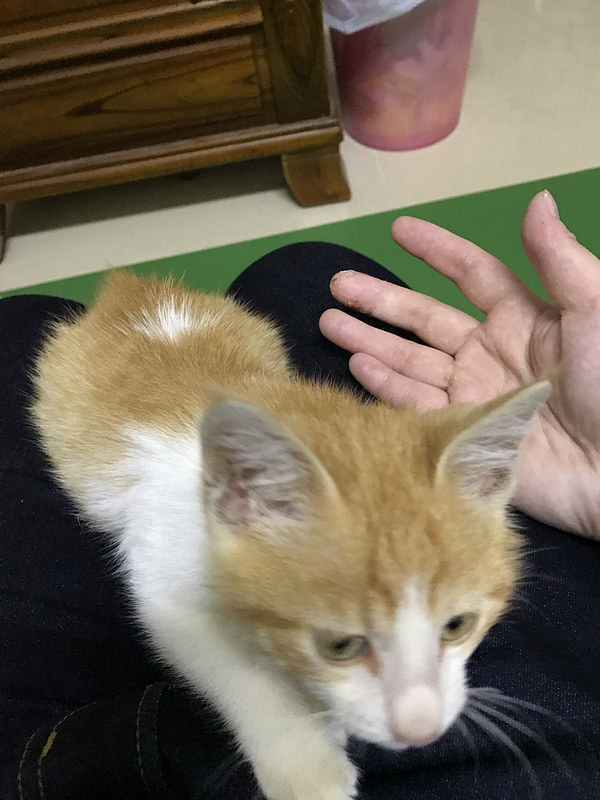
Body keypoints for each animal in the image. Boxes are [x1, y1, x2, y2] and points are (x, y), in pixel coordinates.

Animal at [31, 271, 550, 800]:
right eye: (339, 645)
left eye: (457, 625)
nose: (420, 731)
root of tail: (130, 286)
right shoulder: (162, 573)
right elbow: (236, 668)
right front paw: (308, 765)